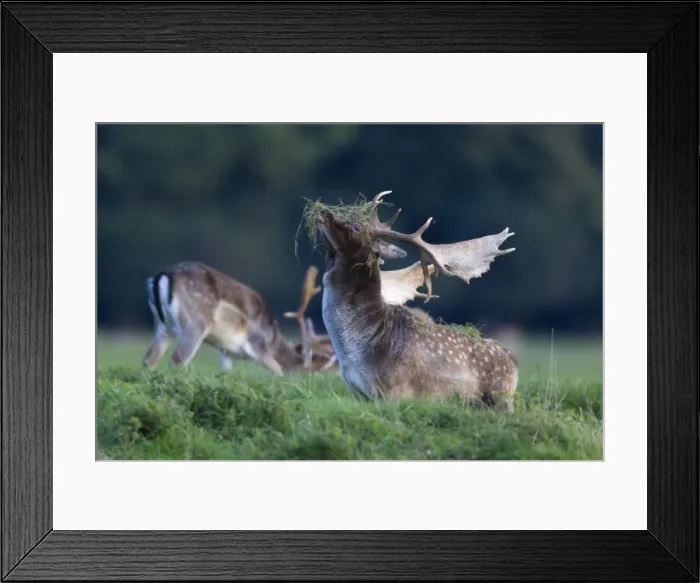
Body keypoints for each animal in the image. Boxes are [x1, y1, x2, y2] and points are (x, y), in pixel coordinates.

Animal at [142, 262, 337, 375]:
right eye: (311, 373)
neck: (273, 340)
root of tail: (161, 277)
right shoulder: (259, 348)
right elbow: (278, 373)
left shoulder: (226, 351)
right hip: (195, 324)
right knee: (177, 360)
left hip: (163, 327)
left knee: (148, 360)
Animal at [314, 190, 518, 410]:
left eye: (356, 227)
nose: (324, 212)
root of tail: (515, 364)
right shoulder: (358, 392)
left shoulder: (394, 390)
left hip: (500, 397)